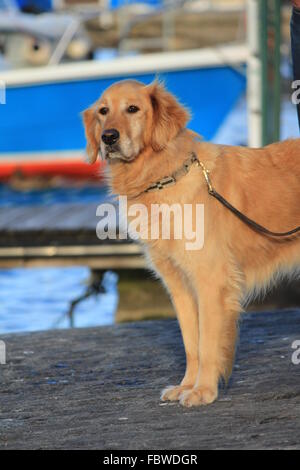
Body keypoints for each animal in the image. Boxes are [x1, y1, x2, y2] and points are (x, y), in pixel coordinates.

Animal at [82, 80, 300, 408]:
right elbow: (191, 342)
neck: (163, 176)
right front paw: (186, 385)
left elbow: (208, 342)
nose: (109, 137)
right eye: (103, 111)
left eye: (133, 108)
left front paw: (203, 390)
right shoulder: (179, 285)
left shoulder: (211, 279)